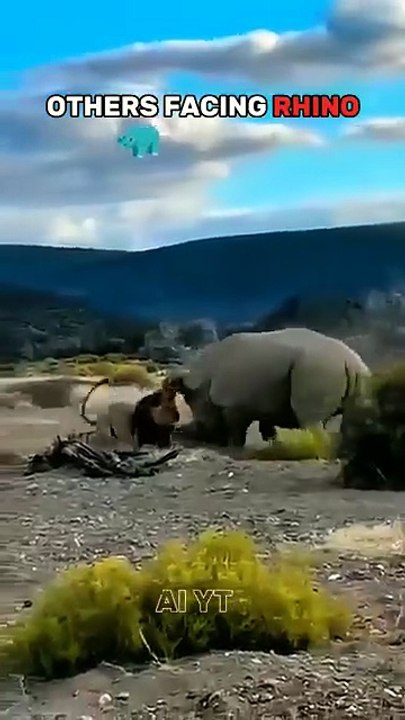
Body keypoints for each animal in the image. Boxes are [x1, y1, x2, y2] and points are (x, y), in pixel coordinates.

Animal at [168, 328, 371, 448]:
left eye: (201, 425)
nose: (184, 436)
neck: (204, 377)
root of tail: (350, 362)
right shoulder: (265, 399)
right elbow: (266, 423)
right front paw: (273, 442)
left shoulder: (234, 403)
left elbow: (236, 426)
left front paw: (234, 447)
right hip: (350, 373)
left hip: (318, 368)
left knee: (310, 419)